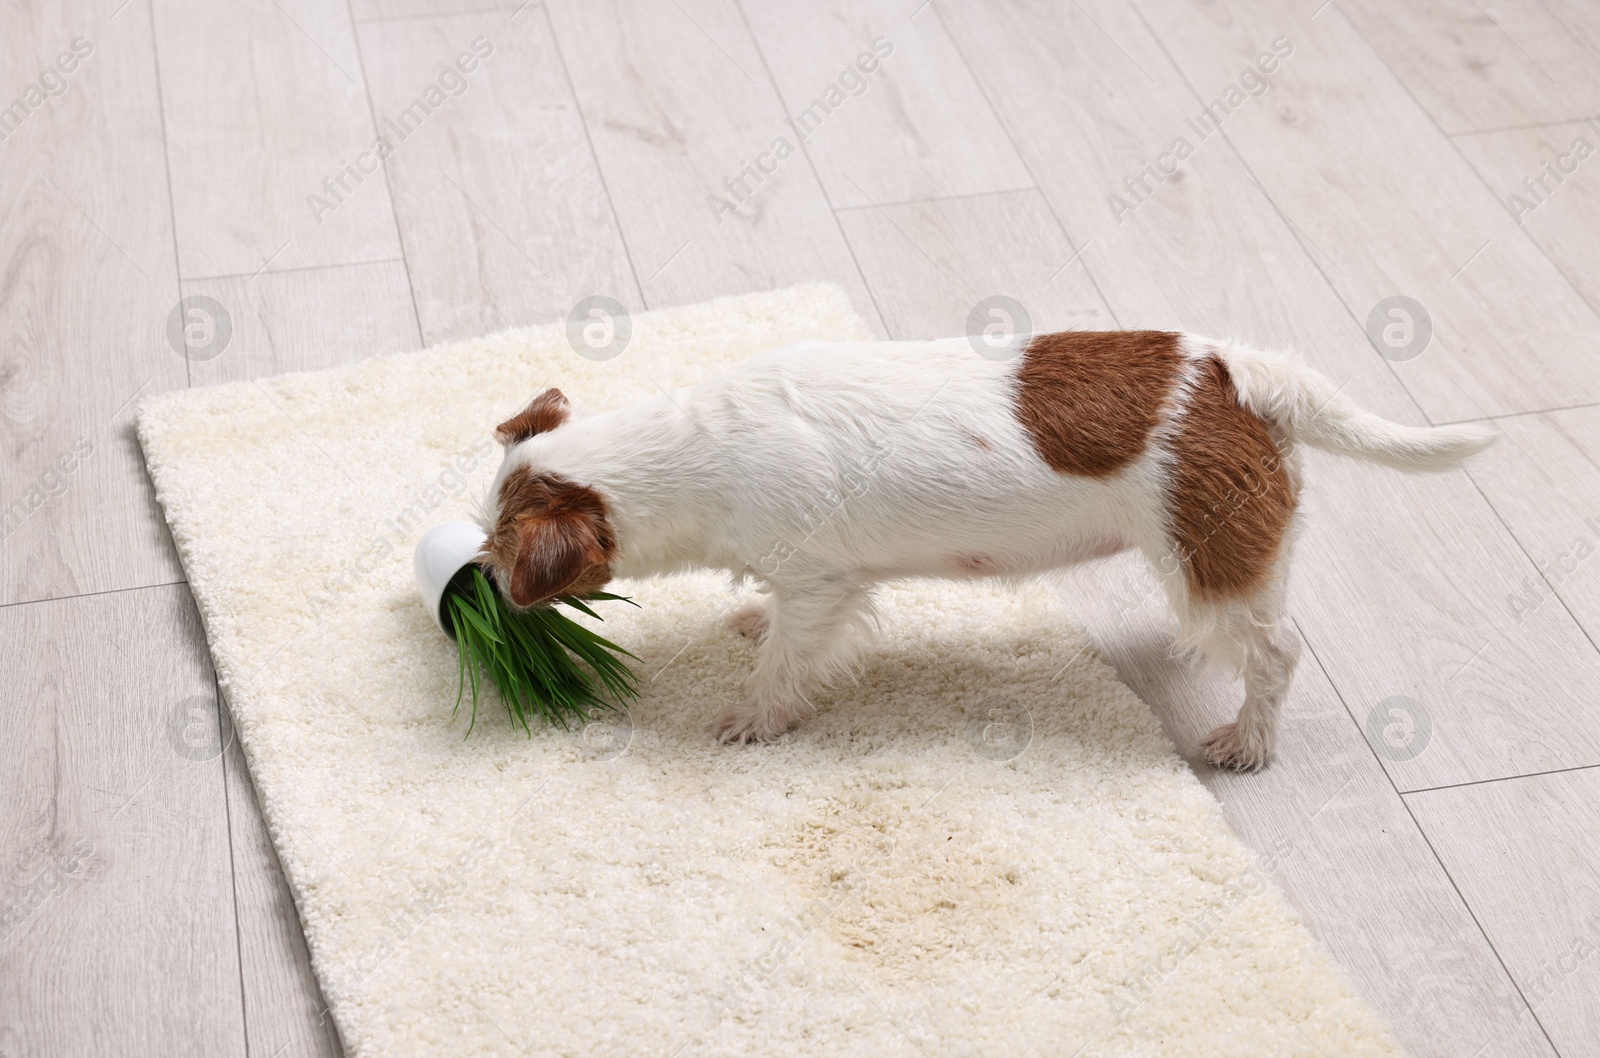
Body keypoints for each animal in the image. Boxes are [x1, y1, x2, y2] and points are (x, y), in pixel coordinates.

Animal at [473, 329, 1497, 768]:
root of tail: (1236, 374)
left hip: (1216, 569)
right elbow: (775, 625)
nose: (476, 579)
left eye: (501, 548)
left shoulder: (821, 585)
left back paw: (1247, 741)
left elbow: (786, 664)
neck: (698, 448)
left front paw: (752, 718)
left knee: (1276, 653)